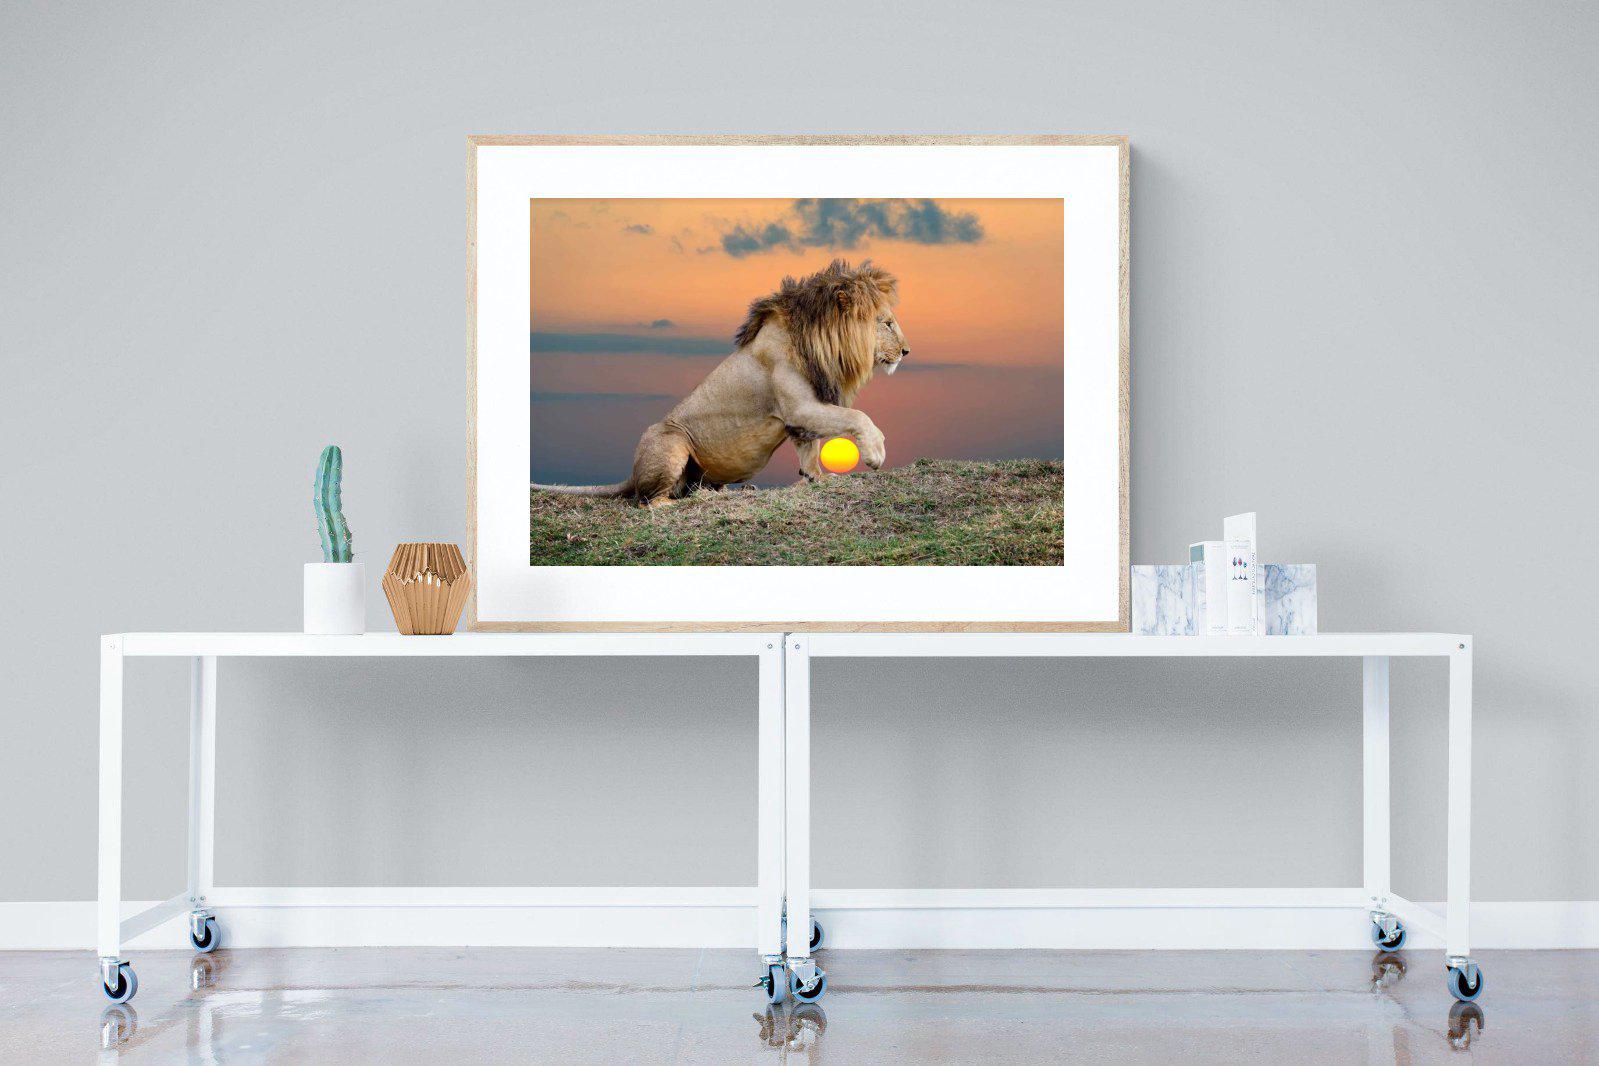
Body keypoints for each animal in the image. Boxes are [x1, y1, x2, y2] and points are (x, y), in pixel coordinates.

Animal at [532, 259, 910, 506]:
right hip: (670, 440)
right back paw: (684, 503)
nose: (907, 351)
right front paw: (875, 453)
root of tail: (632, 473)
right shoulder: (800, 407)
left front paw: (816, 479)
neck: (821, 343)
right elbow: (857, 417)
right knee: (647, 501)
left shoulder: (800, 417)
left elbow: (809, 451)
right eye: (887, 323)